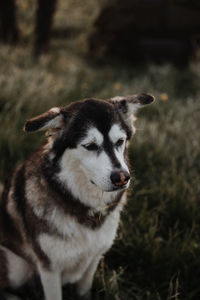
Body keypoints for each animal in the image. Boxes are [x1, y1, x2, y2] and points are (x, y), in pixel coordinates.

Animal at [0, 92, 155, 298]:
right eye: (90, 146)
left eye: (120, 141)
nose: (122, 178)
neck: (85, 207)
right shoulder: (49, 267)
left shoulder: (94, 256)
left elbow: (84, 290)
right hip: (17, 267)